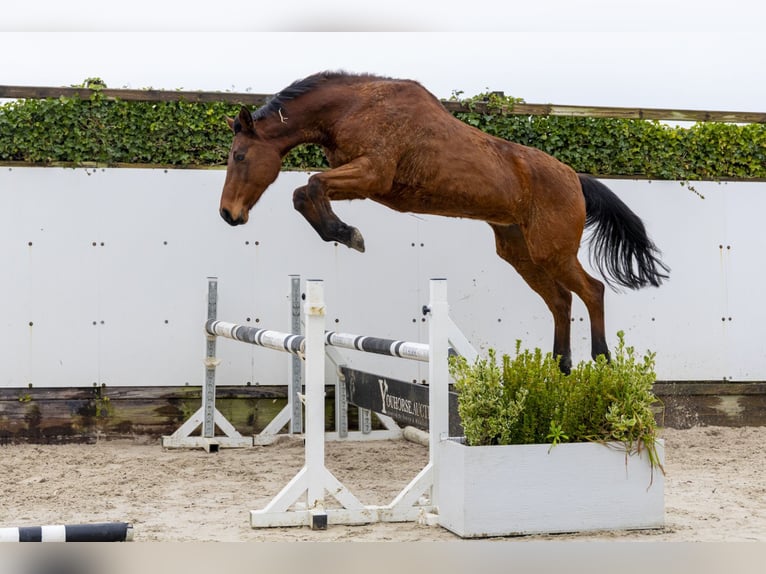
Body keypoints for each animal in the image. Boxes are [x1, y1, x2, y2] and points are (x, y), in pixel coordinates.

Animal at [219, 71, 669, 373]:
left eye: (239, 155)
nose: (228, 214)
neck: (355, 107)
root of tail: (575, 177)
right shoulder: (363, 182)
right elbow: (305, 192)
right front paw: (345, 233)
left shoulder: (372, 175)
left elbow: (310, 186)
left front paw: (348, 235)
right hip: (520, 253)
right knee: (560, 300)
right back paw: (560, 367)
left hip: (551, 250)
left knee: (592, 290)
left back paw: (602, 359)